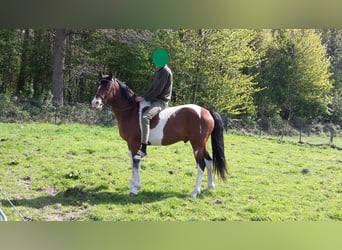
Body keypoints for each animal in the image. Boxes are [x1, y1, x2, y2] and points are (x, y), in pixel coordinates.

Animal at [91, 72, 227, 197]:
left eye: (108, 87)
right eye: (98, 85)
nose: (95, 103)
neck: (130, 110)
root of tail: (206, 111)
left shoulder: (134, 143)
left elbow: (135, 164)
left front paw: (135, 189)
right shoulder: (130, 145)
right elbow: (132, 163)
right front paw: (132, 185)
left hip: (197, 145)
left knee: (201, 165)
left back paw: (195, 192)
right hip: (201, 145)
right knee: (209, 161)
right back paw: (210, 186)